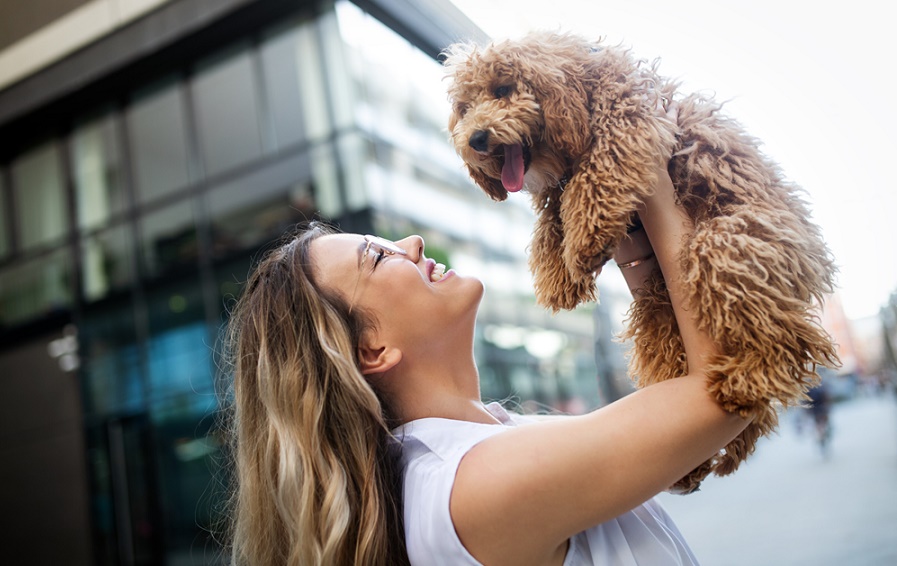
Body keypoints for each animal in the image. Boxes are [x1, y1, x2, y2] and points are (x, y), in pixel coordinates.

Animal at [444, 31, 836, 494]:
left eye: (503, 89)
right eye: (465, 108)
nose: (476, 139)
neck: (581, 87)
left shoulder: (631, 121)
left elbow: (598, 170)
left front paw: (585, 239)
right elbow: (551, 213)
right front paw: (558, 272)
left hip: (736, 244)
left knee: (787, 338)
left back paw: (744, 380)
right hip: (660, 310)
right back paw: (702, 459)